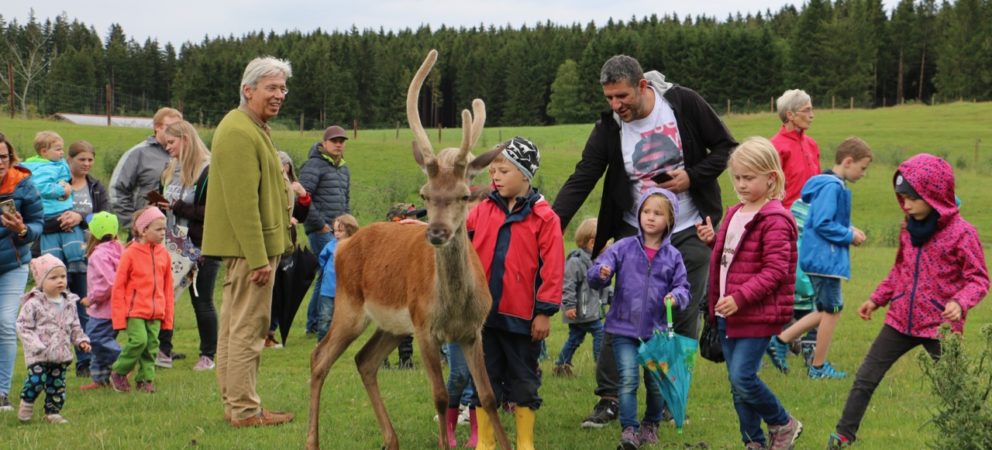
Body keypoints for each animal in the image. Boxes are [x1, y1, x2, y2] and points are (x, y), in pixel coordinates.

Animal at [306, 49, 512, 450]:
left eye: (464, 195)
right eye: (424, 194)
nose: (436, 232)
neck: (454, 307)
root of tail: (346, 242)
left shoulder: (472, 331)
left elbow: (489, 395)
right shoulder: (425, 327)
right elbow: (441, 396)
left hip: (392, 326)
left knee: (364, 360)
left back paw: (391, 439)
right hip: (350, 305)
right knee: (320, 357)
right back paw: (313, 441)